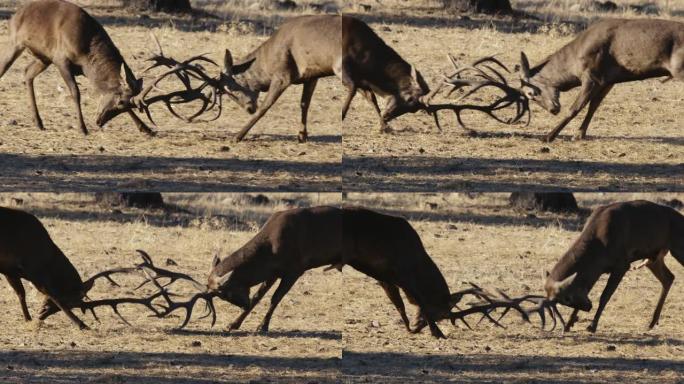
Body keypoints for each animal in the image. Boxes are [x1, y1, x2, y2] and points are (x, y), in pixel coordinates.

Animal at [0, 0, 211, 136]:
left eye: (124, 106)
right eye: (119, 102)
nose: (99, 121)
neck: (87, 53)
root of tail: (15, 14)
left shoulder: (61, 60)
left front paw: (146, 129)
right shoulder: (61, 58)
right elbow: (75, 92)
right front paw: (82, 128)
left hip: (43, 57)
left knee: (27, 72)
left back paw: (38, 122)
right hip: (15, 42)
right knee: (4, 68)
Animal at [1, 206, 195, 328]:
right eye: (72, 300)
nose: (41, 314)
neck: (44, 256)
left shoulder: (11, 270)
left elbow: (21, 293)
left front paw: (28, 318)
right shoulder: (30, 268)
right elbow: (51, 293)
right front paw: (81, 324)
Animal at [158, 207, 536, 340]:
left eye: (220, 292)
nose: (234, 305)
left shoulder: (296, 265)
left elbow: (274, 298)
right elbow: (266, 295)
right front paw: (235, 325)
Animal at [520, 18, 684, 142]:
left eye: (531, 93)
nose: (553, 110)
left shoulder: (591, 75)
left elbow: (575, 108)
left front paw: (548, 136)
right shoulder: (607, 81)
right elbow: (594, 106)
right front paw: (579, 134)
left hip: (680, 70)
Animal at [544, 200, 684, 332]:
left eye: (567, 298)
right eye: (563, 301)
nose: (588, 307)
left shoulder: (622, 265)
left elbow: (605, 296)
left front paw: (592, 326)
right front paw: (568, 324)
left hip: (677, 248)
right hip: (653, 258)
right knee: (668, 278)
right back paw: (652, 322)